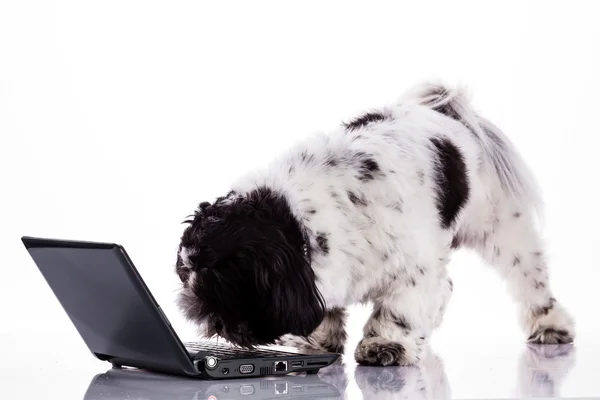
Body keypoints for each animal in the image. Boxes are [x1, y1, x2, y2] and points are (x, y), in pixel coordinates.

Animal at [172, 81, 572, 366]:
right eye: (185, 272)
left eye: (218, 280)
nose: (193, 303)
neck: (299, 221)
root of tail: (448, 112)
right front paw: (318, 341)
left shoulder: (412, 267)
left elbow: (397, 309)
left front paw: (385, 345)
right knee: (446, 287)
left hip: (503, 229)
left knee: (530, 279)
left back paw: (550, 325)